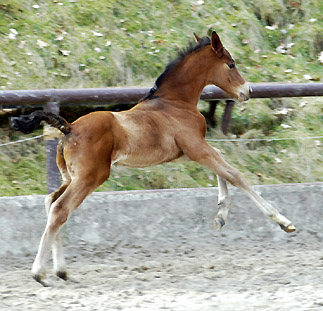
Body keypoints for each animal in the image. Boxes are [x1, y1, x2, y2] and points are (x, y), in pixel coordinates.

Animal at [10, 31, 296, 288]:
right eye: (231, 64)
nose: (248, 90)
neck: (174, 102)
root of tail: (69, 127)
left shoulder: (187, 152)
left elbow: (222, 166)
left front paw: (221, 214)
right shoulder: (196, 147)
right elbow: (235, 174)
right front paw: (283, 222)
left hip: (71, 177)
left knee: (51, 202)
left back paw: (61, 272)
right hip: (90, 178)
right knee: (60, 209)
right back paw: (40, 274)